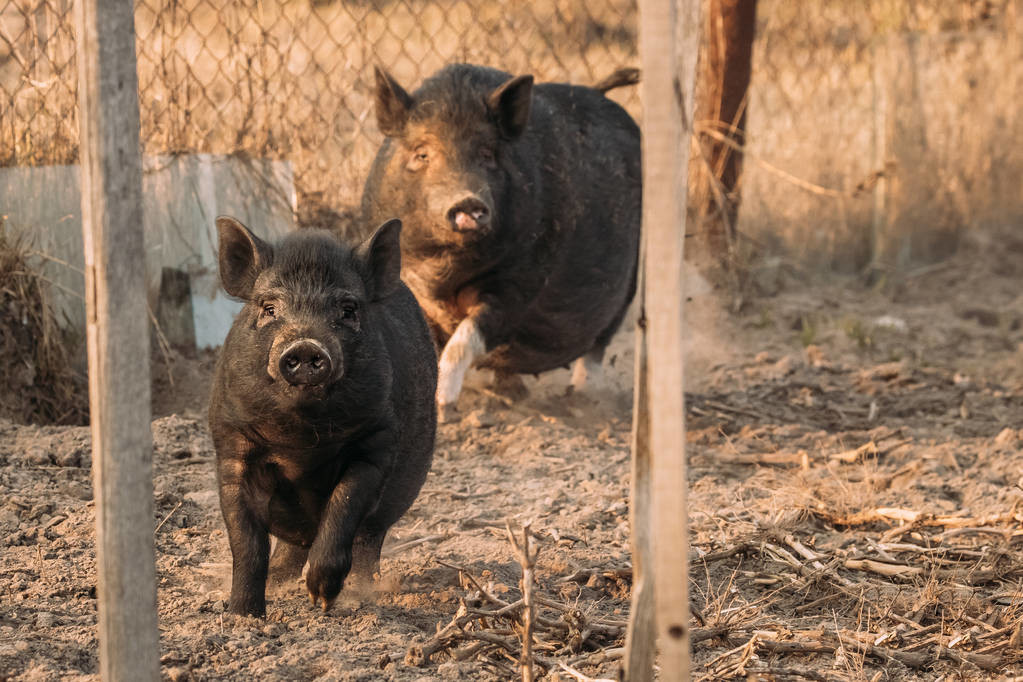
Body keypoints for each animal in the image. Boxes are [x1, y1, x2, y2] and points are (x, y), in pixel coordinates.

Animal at [205, 215, 433, 617]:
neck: (301, 447)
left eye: (348, 309)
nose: (306, 346)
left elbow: (344, 506)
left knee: (367, 542)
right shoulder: (233, 446)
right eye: (268, 308)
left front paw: (321, 599)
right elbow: (246, 543)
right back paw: (280, 582)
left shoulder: (376, 443)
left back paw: (365, 590)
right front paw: (243, 616)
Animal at [360, 62, 638, 421]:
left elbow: (467, 337)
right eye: (422, 153)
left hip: (632, 280)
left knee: (599, 344)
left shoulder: (519, 284)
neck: (444, 274)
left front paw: (444, 407)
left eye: (488, 155)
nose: (468, 202)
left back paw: (581, 398)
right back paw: (513, 392)